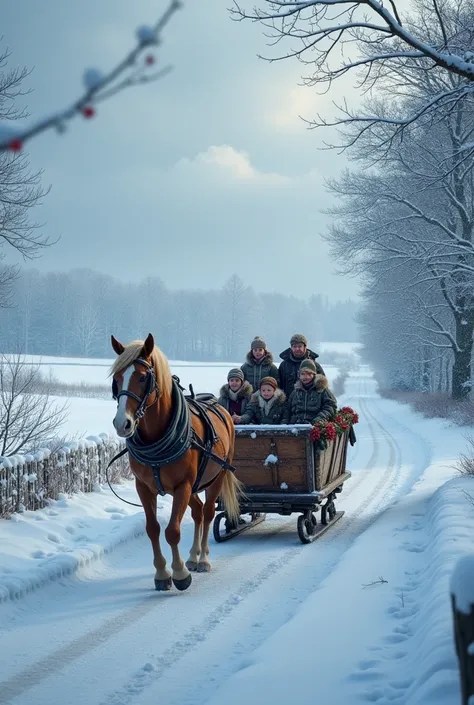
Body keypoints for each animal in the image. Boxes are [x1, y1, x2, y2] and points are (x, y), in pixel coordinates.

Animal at [109, 332, 243, 592]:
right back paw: (192, 556)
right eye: (117, 378)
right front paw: (162, 573)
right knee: (198, 512)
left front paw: (179, 574)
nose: (122, 423)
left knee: (208, 512)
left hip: (216, 477)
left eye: (143, 377)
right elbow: (153, 529)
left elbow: (172, 531)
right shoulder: (144, 487)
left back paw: (203, 558)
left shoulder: (183, 486)